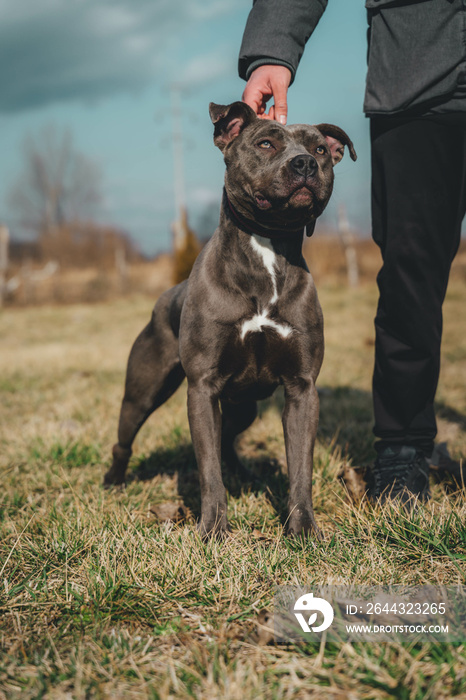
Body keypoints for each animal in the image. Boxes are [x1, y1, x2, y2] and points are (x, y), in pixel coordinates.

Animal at [104, 100, 354, 536]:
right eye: (266, 143)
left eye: (321, 149)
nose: (306, 163)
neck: (268, 246)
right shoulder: (203, 389)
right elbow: (207, 470)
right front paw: (213, 530)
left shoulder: (302, 389)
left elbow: (300, 468)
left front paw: (303, 528)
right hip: (144, 391)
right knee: (127, 437)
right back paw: (114, 481)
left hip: (243, 406)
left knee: (226, 442)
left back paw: (242, 474)